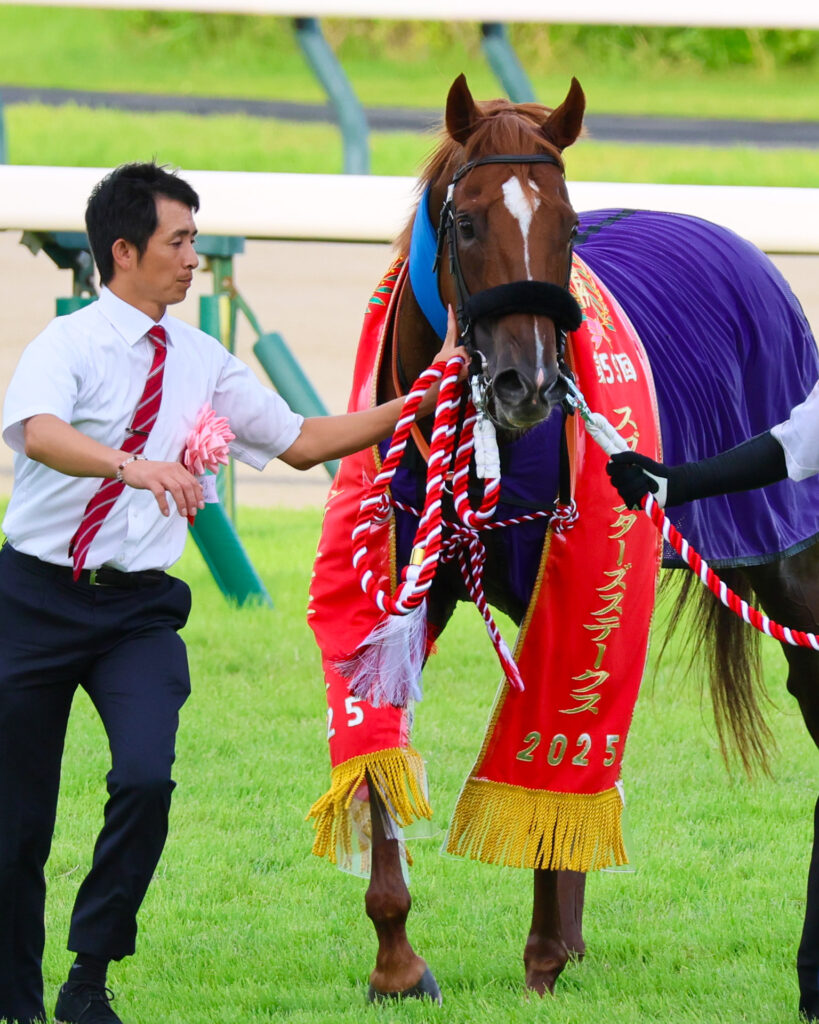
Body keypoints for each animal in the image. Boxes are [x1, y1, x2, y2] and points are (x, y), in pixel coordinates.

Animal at [307, 74, 819, 1014]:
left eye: (569, 226)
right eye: (469, 222)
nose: (529, 383)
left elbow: (554, 721)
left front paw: (542, 953)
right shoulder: (404, 584)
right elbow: (379, 739)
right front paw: (397, 961)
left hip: (790, 559)